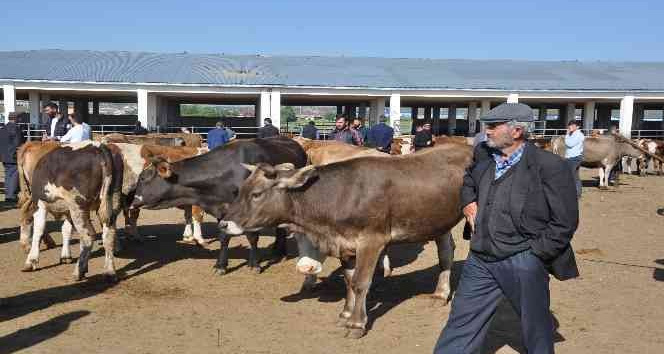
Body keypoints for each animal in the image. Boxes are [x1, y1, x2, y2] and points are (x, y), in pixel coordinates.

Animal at [220, 143, 474, 338]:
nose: (224, 224)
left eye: (257, 194)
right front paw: (345, 314)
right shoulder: (346, 243)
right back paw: (440, 294)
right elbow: (349, 280)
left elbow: (361, 282)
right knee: (446, 252)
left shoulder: (372, 241)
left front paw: (356, 323)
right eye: (240, 190)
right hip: (438, 220)